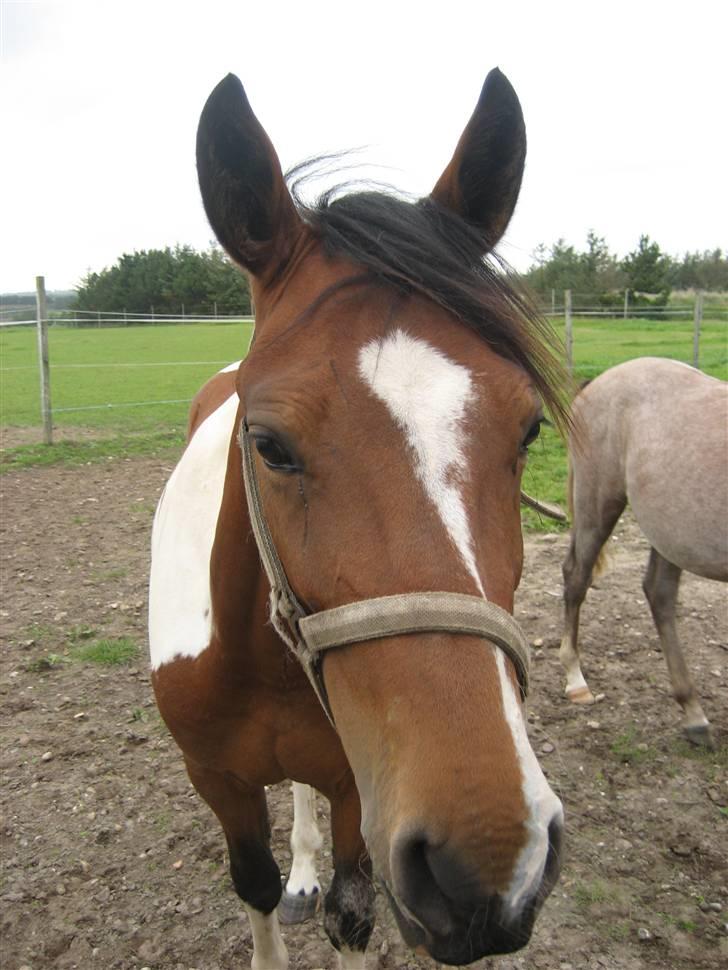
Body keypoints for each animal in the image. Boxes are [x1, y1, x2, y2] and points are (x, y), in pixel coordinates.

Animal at [149, 70, 568, 968]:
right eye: (268, 443)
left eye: (529, 430)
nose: (488, 860)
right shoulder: (217, 780)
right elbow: (255, 886)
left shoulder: (355, 785)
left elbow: (350, 910)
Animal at [560, 360, 724, 744]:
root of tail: (596, 383)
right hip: (597, 504)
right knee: (576, 578)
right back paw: (576, 679)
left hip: (669, 530)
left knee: (658, 593)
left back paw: (693, 713)